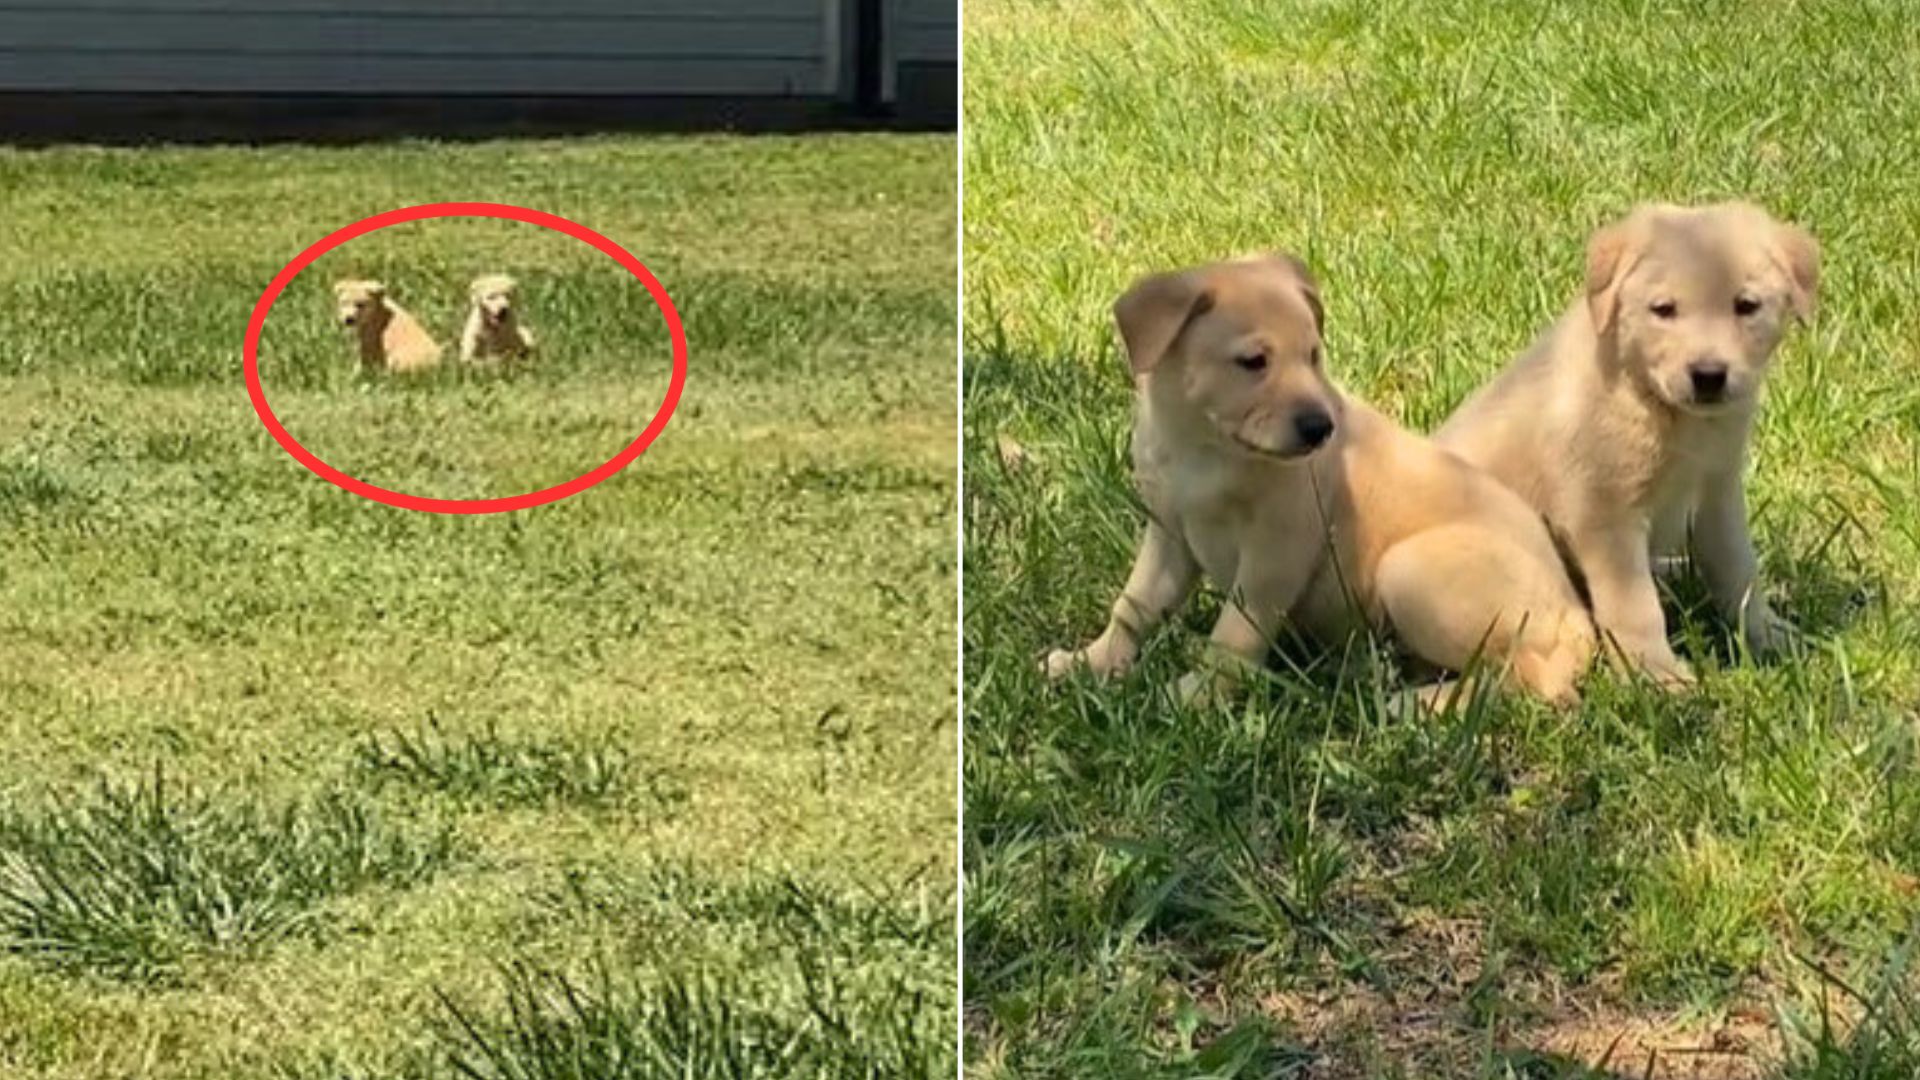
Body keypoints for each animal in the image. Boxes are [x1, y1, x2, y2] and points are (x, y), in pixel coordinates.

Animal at [1044, 253, 1597, 707]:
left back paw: (1418, 705)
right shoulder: (1168, 537)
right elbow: (1133, 605)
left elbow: (1234, 635)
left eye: (1312, 355)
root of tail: (1578, 616)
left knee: (1535, 679)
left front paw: (1196, 697)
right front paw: (1091, 662)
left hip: (1409, 570)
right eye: (1253, 362)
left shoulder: (1274, 555)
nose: (1320, 427)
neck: (1206, 450)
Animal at [1443, 201, 1812, 680]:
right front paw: (1656, 674)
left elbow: (1739, 570)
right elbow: (1636, 606)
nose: (1709, 376)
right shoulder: (1606, 516)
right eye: (1663, 309)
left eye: (1746, 306)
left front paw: (1770, 635)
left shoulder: (1719, 494)